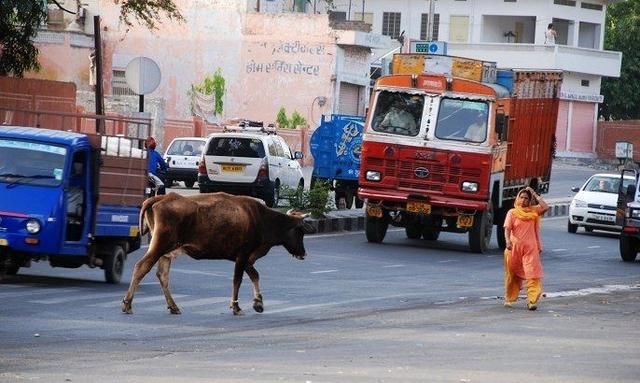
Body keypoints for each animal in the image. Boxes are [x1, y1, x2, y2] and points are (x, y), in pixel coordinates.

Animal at [120, 194, 316, 316]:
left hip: (166, 252)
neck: (262, 219)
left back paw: (173, 306)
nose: (303, 253)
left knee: (162, 275)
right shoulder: (243, 255)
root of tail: (163, 196)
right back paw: (128, 304)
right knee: (141, 267)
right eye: (300, 231)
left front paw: (258, 303)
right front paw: (236, 306)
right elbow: (238, 280)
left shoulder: (247, 258)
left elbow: (255, 275)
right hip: (159, 246)